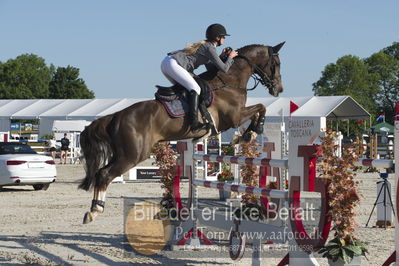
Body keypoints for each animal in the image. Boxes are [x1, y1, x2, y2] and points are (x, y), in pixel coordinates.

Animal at [79, 42, 284, 224]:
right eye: (276, 63)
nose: (278, 89)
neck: (229, 80)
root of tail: (116, 116)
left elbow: (259, 109)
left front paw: (247, 135)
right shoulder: (234, 117)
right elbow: (261, 108)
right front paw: (252, 133)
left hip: (122, 153)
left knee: (100, 173)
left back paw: (94, 208)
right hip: (132, 155)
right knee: (104, 174)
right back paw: (94, 211)